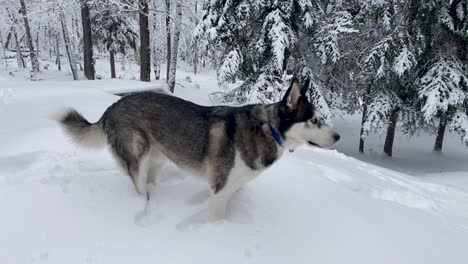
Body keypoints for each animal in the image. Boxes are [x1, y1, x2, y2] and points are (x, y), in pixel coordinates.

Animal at [55, 77, 340, 220]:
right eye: (314, 120)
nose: (337, 136)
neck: (267, 128)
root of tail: (111, 108)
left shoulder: (233, 187)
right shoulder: (220, 188)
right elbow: (217, 216)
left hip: (158, 156)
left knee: (151, 180)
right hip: (139, 157)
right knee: (138, 185)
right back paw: (144, 206)